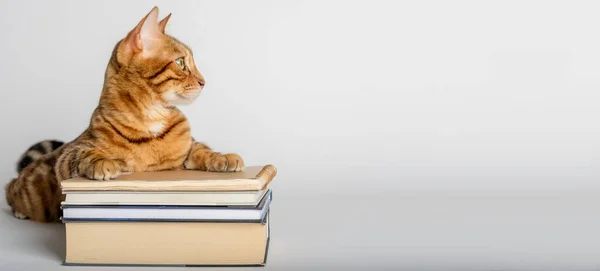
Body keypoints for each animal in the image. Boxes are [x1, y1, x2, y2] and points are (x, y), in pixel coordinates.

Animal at [4, 6, 244, 223]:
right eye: (181, 62)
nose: (204, 81)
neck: (152, 117)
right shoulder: (69, 156)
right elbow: (83, 153)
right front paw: (102, 162)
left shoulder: (185, 152)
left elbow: (202, 148)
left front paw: (222, 157)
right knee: (8, 190)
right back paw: (19, 210)